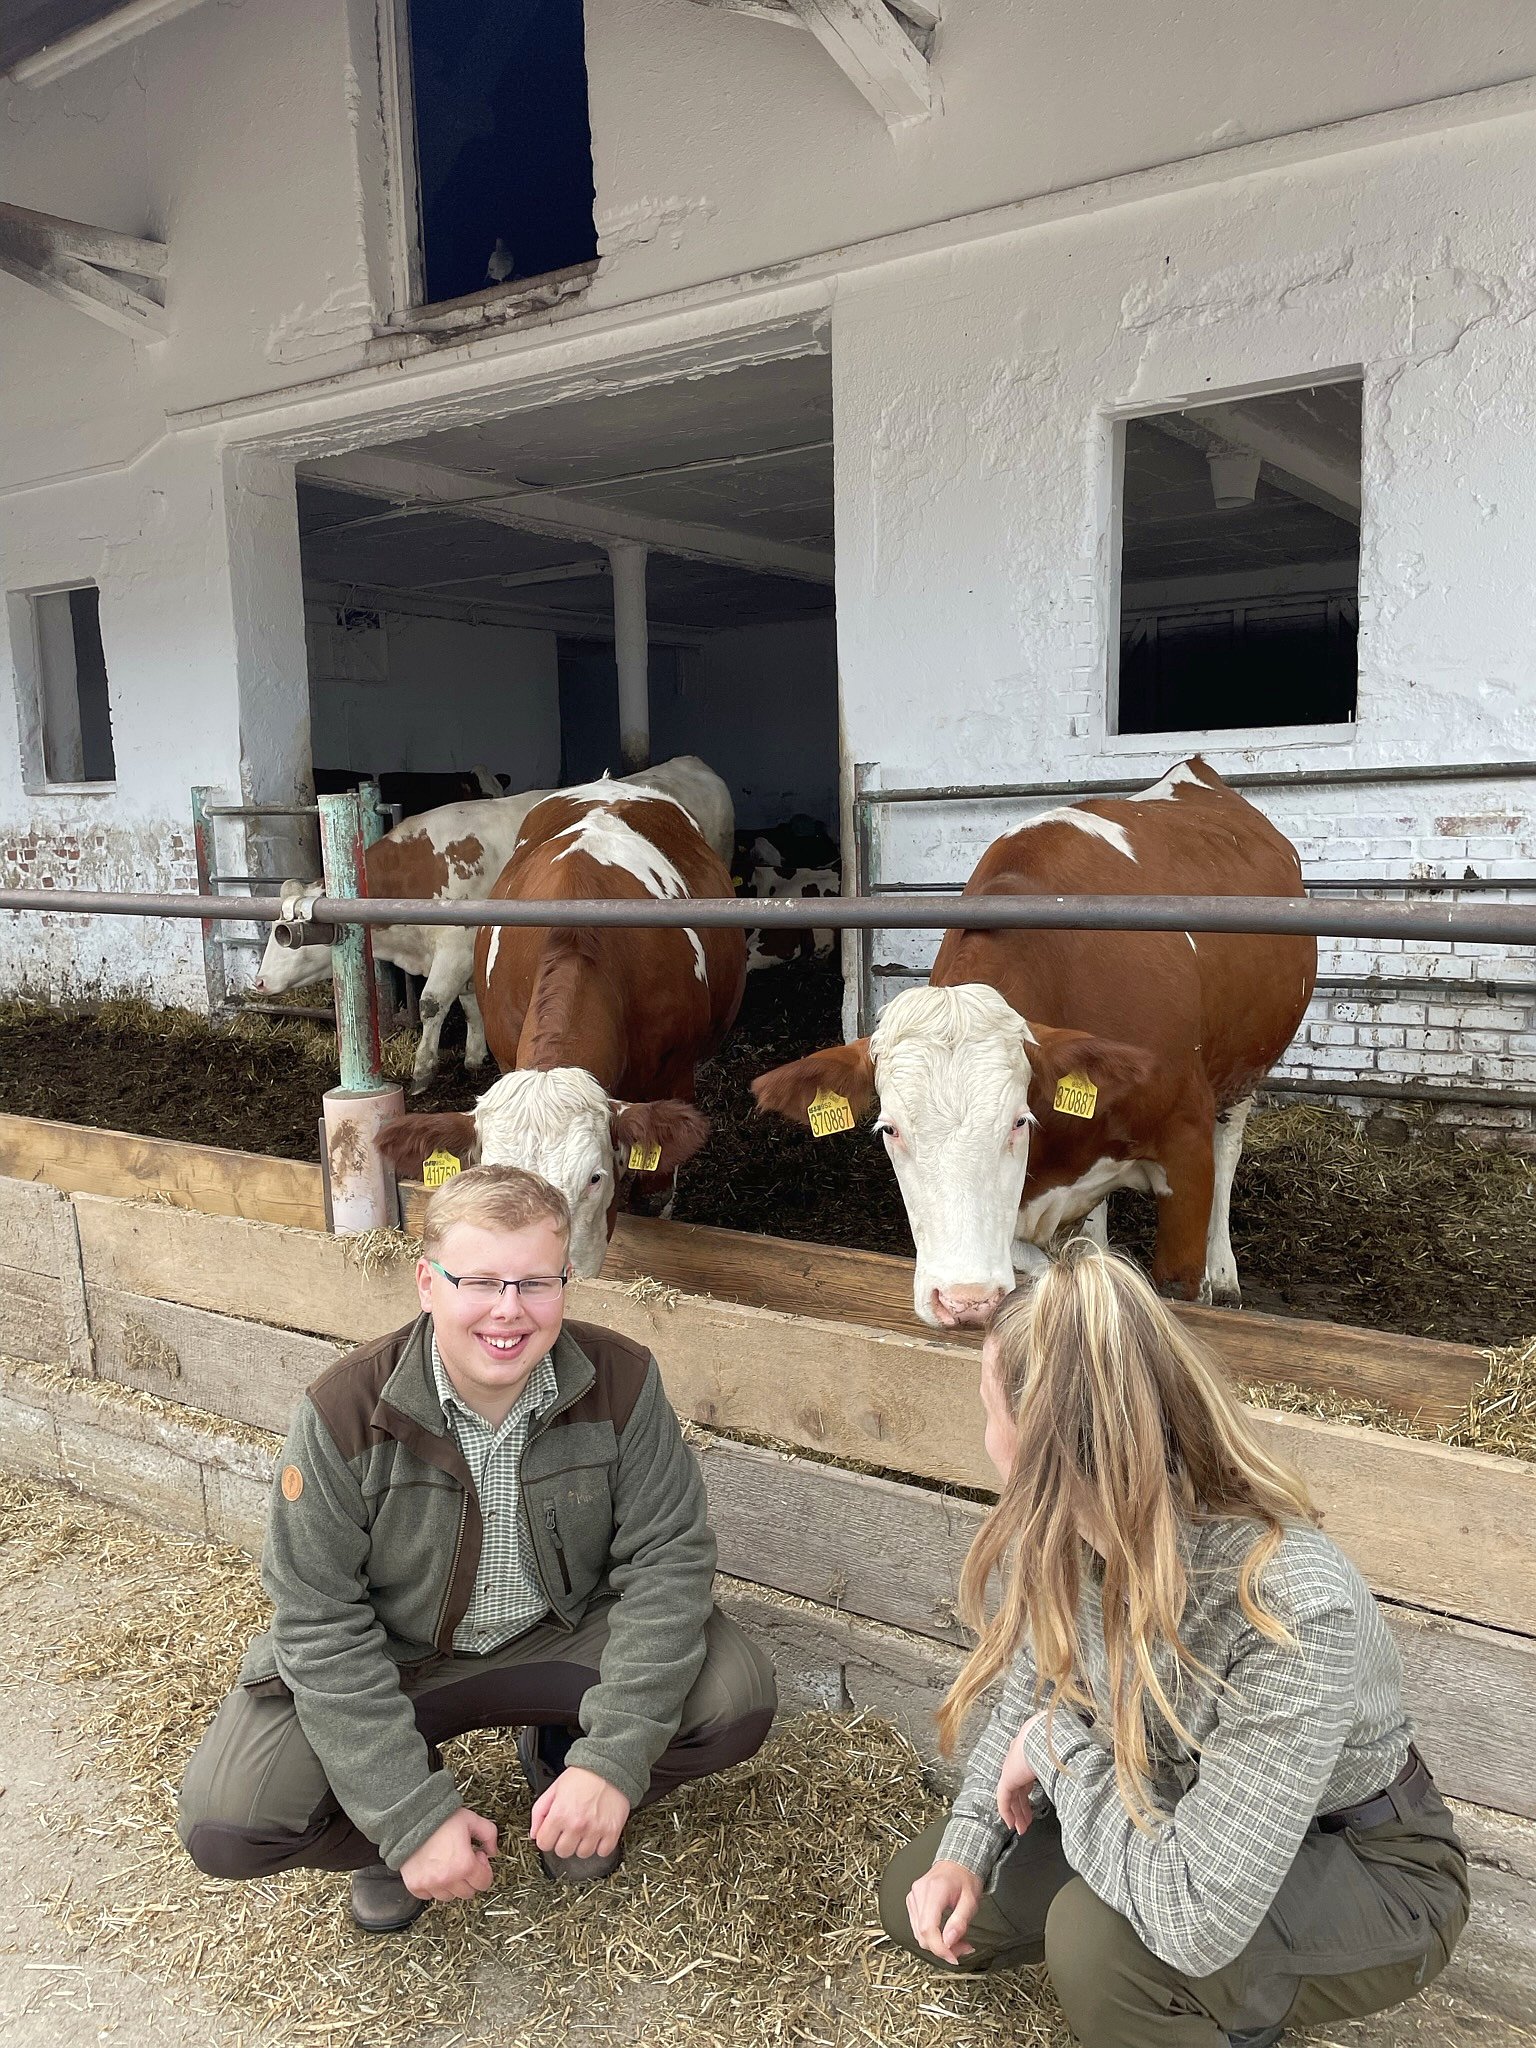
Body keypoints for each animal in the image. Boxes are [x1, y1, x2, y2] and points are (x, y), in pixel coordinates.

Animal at [250, 756, 734, 1092]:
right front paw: (473, 1055)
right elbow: (469, 1002)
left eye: (289, 937)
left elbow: (431, 1004)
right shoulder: (466, 954)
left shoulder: (455, 945)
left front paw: (423, 1071)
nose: (258, 984)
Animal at [751, 759, 1315, 1328]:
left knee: (1229, 1152)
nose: (964, 1299)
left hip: (1243, 1070)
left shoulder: (1186, 1146)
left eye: (1018, 1121)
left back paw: (1225, 1271)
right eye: (889, 1129)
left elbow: (1182, 1280)